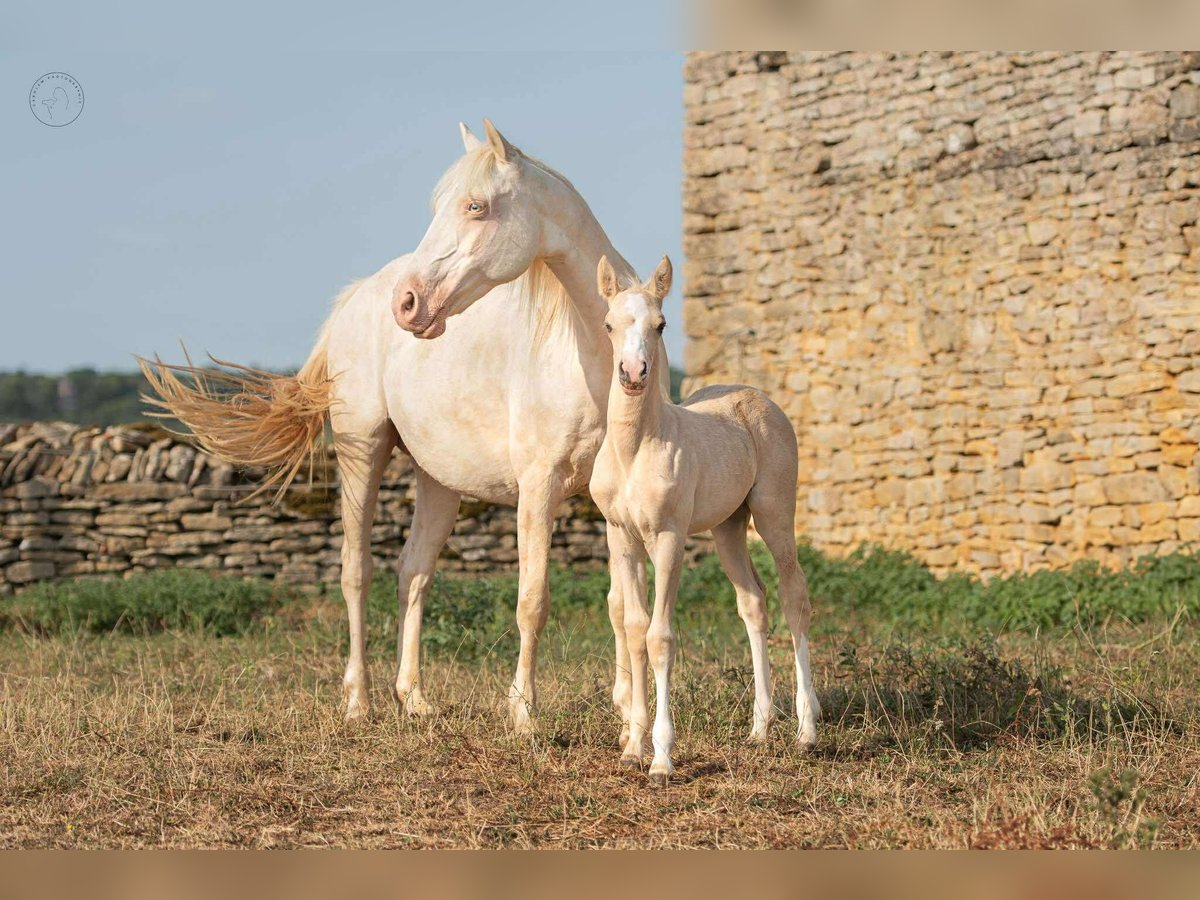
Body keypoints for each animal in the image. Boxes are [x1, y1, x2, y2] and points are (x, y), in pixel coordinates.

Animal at [141, 120, 650, 735]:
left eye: (476, 206)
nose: (407, 303)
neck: (593, 359)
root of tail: (357, 298)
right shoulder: (538, 489)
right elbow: (533, 599)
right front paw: (524, 715)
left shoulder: (611, 500)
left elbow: (621, 603)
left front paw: (625, 711)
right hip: (363, 450)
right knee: (357, 571)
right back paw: (359, 701)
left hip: (438, 481)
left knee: (413, 572)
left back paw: (414, 698)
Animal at [588, 255, 820, 782]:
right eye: (609, 324)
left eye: (660, 324)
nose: (633, 373)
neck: (635, 450)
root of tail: (758, 398)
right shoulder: (622, 538)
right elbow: (634, 629)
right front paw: (633, 746)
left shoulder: (668, 537)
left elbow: (660, 637)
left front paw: (662, 758)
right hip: (728, 528)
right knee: (753, 602)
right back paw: (759, 728)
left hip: (774, 514)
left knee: (794, 597)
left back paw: (806, 731)